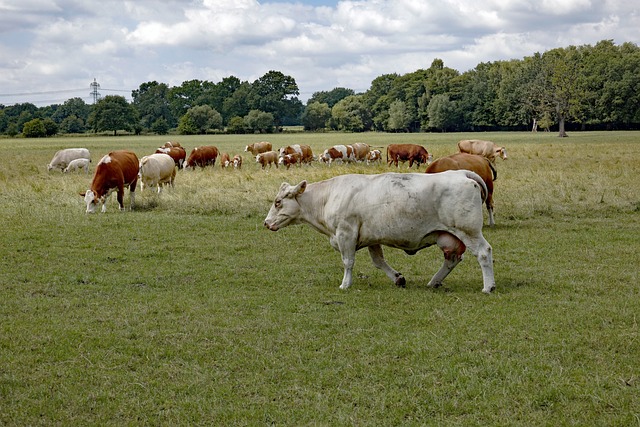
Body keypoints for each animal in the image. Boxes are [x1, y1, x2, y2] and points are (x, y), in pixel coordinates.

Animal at [262, 171, 498, 294]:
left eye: (278, 202)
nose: (266, 223)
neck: (328, 197)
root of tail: (460, 173)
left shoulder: (346, 233)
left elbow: (348, 262)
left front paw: (345, 284)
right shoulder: (370, 237)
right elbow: (378, 261)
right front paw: (398, 279)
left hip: (468, 230)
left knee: (484, 253)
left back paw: (488, 286)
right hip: (448, 235)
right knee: (452, 258)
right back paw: (434, 282)